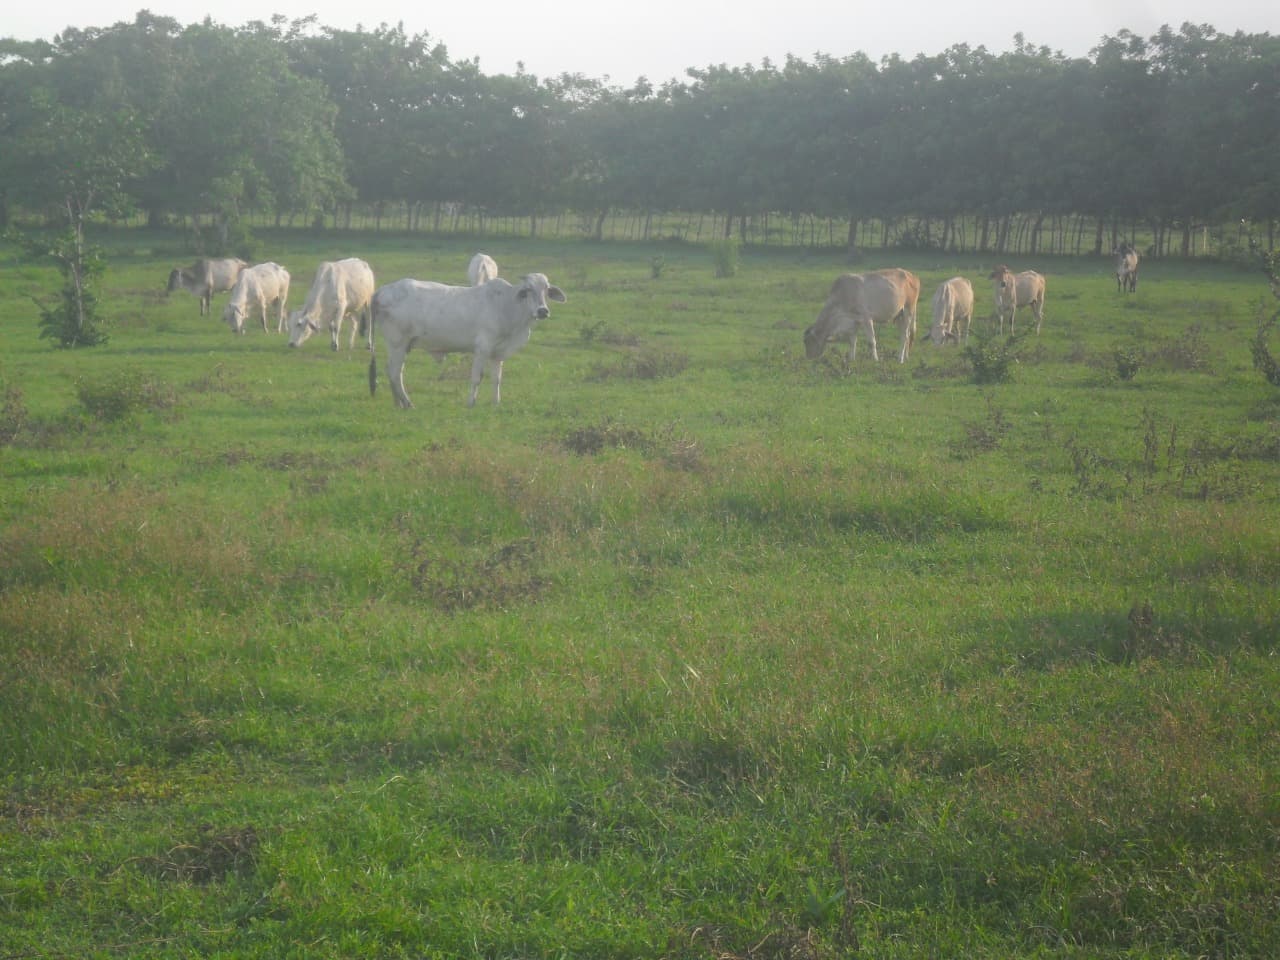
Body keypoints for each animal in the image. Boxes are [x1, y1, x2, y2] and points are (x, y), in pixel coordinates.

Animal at [368, 273, 567, 408]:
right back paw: (408, 403)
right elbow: (477, 378)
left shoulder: (497, 354)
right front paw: (471, 402)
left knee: (393, 372)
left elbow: (496, 379)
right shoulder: (482, 348)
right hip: (397, 344)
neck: (507, 306)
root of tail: (381, 291)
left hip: (402, 346)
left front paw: (496, 403)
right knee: (394, 372)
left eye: (546, 289)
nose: (542, 311)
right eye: (528, 290)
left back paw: (399, 403)